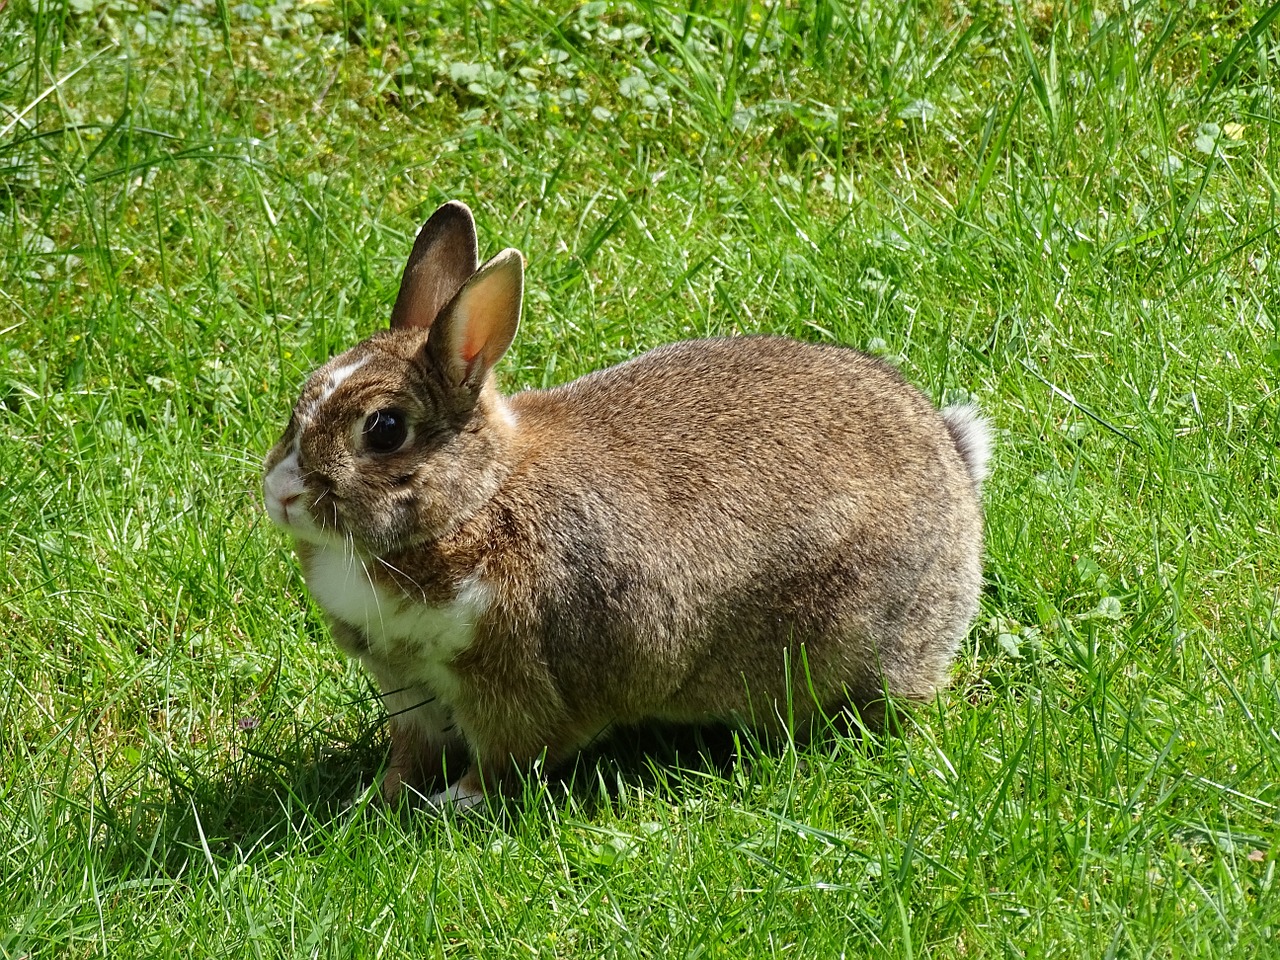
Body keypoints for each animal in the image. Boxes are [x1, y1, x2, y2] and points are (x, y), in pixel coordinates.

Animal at [264, 203, 993, 814]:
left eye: (385, 429)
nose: (279, 493)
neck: (478, 502)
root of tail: (956, 470)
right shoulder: (409, 692)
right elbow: (410, 753)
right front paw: (378, 799)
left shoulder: (514, 680)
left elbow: (505, 760)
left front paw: (451, 805)